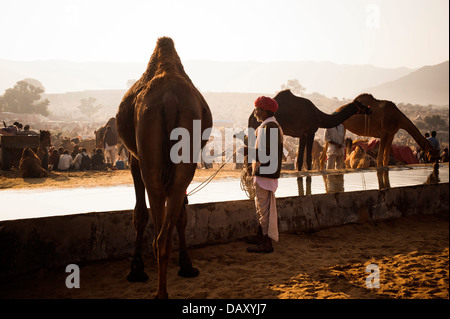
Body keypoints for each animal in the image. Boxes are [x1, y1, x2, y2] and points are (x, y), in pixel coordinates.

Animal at [115, 37, 212, 300]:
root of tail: (169, 100)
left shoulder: (134, 158)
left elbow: (139, 213)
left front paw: (136, 269)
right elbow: (182, 214)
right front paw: (187, 266)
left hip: (149, 150)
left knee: (155, 217)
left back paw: (159, 291)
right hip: (184, 156)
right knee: (172, 216)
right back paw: (163, 289)